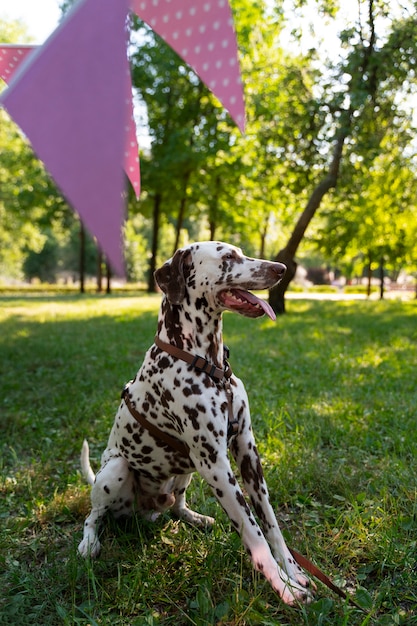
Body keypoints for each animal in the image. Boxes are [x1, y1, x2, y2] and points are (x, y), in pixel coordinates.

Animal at [77, 240, 312, 604]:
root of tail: (147, 509)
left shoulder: (247, 453)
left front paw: (294, 571)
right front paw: (284, 588)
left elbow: (271, 524)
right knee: (94, 515)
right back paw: (89, 542)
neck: (208, 365)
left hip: (185, 471)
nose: (282, 269)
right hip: (115, 471)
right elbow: (255, 535)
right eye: (228, 257)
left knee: (177, 505)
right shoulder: (216, 465)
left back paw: (195, 517)